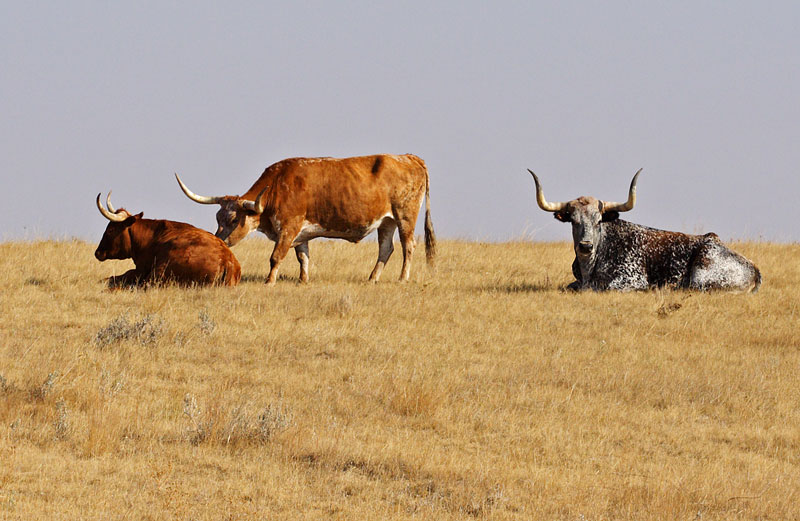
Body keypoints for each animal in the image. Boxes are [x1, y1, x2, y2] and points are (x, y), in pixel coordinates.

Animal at [175, 154, 436, 284]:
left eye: (231, 219)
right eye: (217, 217)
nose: (218, 240)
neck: (277, 186)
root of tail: (408, 157)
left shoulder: (288, 228)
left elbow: (276, 257)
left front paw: (269, 281)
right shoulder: (301, 233)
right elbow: (303, 256)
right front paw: (303, 280)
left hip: (404, 216)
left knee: (408, 246)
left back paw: (402, 278)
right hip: (386, 221)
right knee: (386, 248)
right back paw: (372, 279)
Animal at [528, 169, 761, 292]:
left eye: (598, 220)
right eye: (573, 221)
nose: (586, 246)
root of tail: (754, 268)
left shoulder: (631, 279)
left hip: (701, 276)